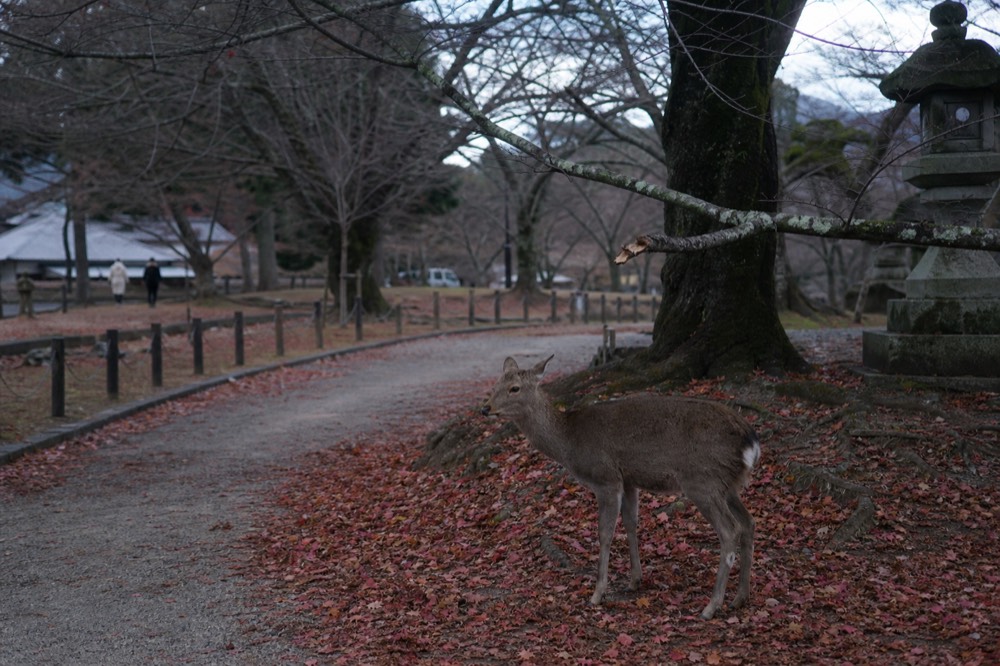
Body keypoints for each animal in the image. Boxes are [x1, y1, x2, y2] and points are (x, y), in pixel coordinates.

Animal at [481, 355, 760, 620]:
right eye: (495, 385)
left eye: (514, 388)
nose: (486, 408)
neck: (569, 443)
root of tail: (751, 442)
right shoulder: (629, 481)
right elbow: (630, 523)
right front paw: (635, 580)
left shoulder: (606, 479)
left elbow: (605, 533)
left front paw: (598, 593)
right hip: (728, 485)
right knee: (748, 522)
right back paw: (740, 597)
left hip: (702, 480)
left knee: (730, 530)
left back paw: (711, 607)